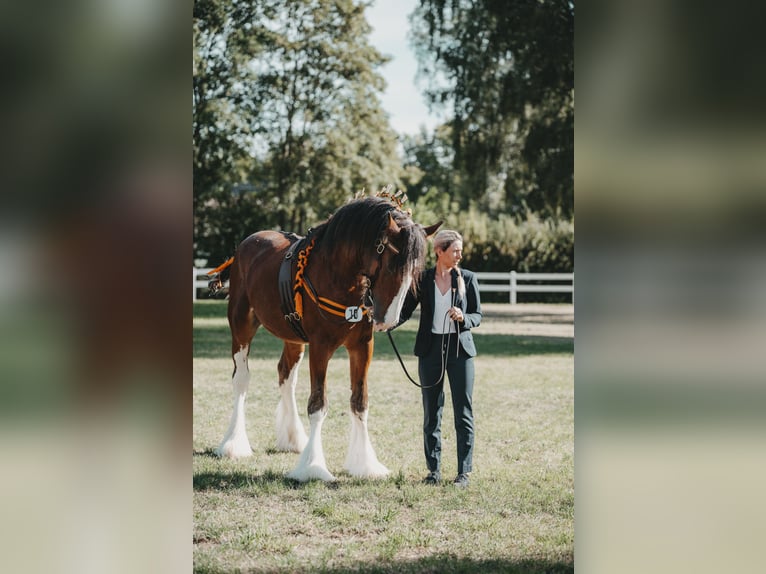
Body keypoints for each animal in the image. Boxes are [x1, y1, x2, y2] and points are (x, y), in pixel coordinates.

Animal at [213, 196, 440, 484]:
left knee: (286, 376)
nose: (387, 320)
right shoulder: (321, 347)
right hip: (241, 326)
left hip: (293, 338)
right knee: (241, 379)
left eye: (416, 273)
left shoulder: (362, 347)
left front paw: (365, 465)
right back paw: (233, 444)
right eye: (391, 265)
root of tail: (245, 245)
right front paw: (313, 467)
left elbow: (359, 402)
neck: (337, 274)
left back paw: (293, 438)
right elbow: (318, 404)